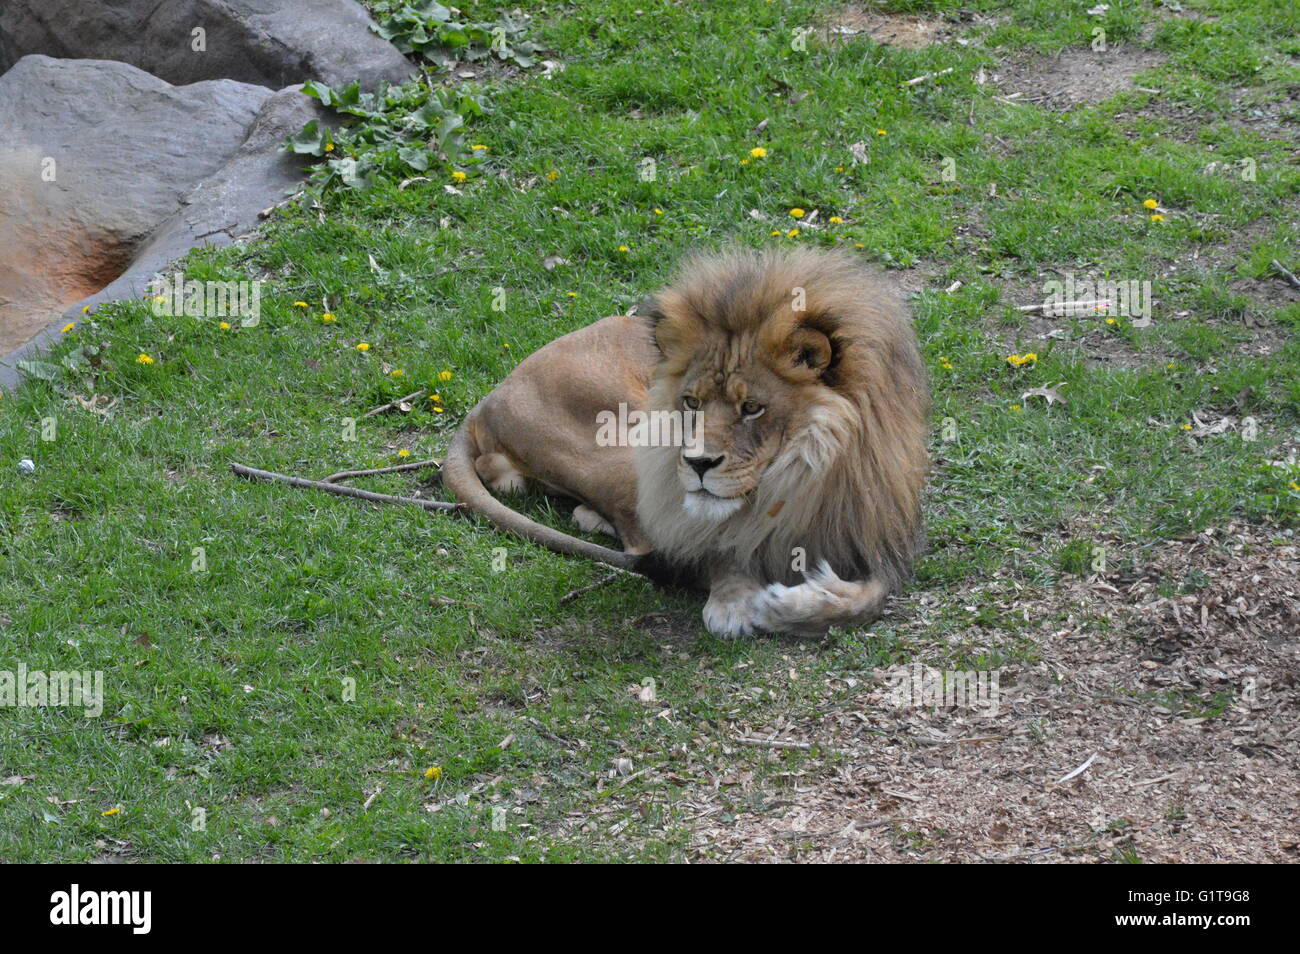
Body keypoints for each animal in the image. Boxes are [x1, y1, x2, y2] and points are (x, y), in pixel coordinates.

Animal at [441, 246, 930, 637]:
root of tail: (488, 399)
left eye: (752, 408)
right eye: (692, 402)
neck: (797, 478)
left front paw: (792, 607)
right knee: (640, 541)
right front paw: (737, 602)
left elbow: (869, 599)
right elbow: (714, 547)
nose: (697, 463)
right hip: (628, 444)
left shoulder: (876, 541)